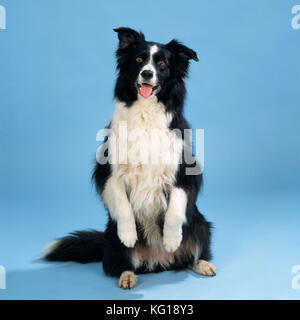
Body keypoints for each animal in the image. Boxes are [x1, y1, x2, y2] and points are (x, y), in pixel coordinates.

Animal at [44, 26, 216, 288]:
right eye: (138, 60)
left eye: (162, 63)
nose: (147, 73)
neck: (146, 112)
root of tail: (159, 262)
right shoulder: (109, 171)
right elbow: (122, 203)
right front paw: (128, 234)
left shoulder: (184, 170)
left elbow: (176, 204)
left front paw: (171, 238)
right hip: (111, 239)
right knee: (117, 265)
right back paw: (126, 276)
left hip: (200, 224)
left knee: (192, 254)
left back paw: (202, 263)